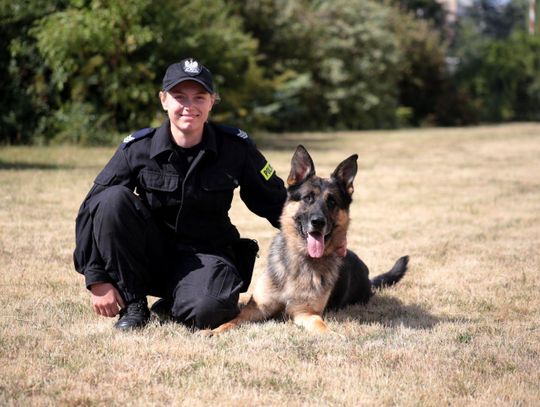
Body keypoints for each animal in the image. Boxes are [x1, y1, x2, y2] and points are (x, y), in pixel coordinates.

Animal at [205, 145, 408, 336]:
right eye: (308, 198)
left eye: (332, 202)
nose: (318, 222)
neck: (301, 261)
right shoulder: (256, 309)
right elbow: (233, 320)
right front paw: (214, 330)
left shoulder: (305, 313)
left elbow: (322, 327)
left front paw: (335, 336)